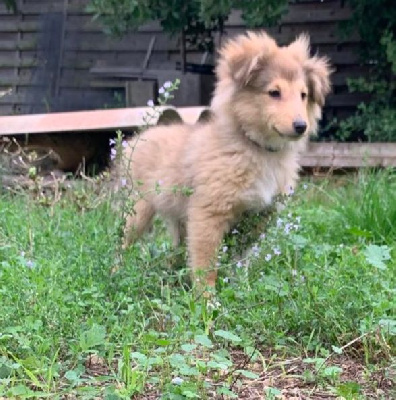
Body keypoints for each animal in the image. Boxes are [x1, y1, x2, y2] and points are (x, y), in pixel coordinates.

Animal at [120, 31, 332, 288]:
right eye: (274, 92)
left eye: (303, 95)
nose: (301, 126)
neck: (257, 149)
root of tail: (142, 137)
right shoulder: (208, 215)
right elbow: (205, 266)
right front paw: (206, 297)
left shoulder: (256, 218)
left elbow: (240, 260)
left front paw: (241, 288)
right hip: (139, 210)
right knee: (122, 246)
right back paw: (116, 273)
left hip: (178, 219)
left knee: (176, 253)